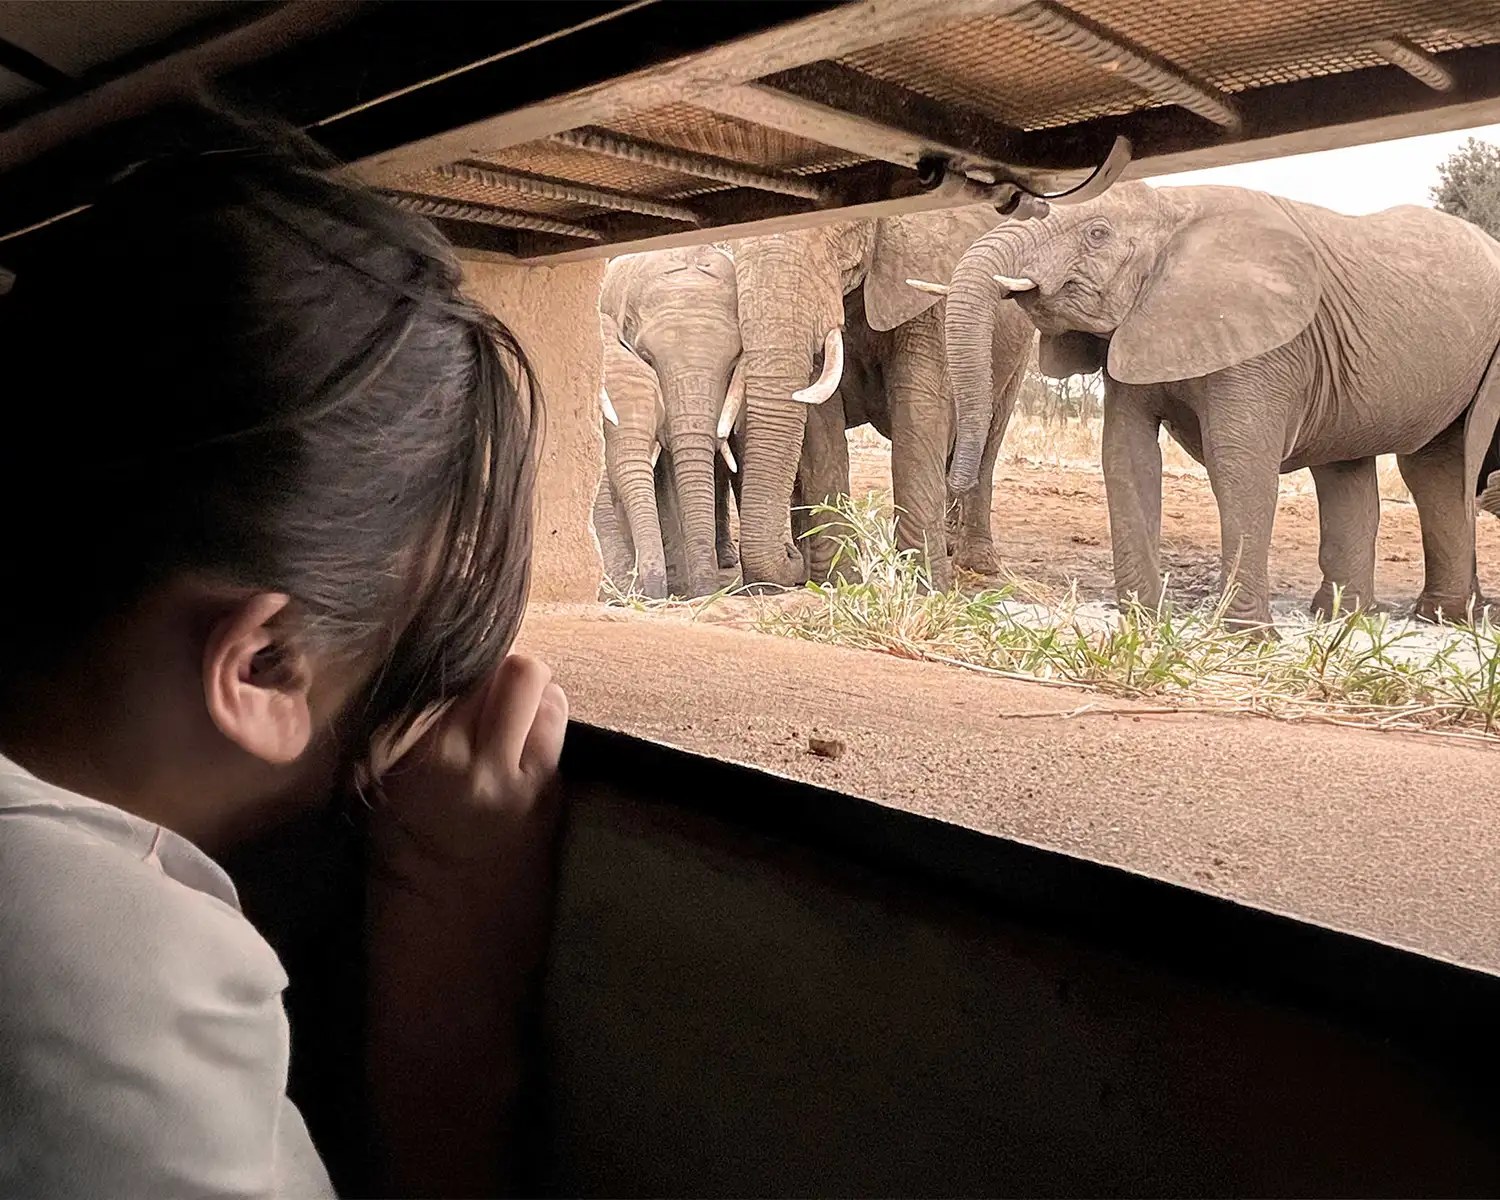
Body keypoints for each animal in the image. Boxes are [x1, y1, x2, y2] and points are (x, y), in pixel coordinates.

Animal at [731, 206, 1035, 592]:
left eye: (847, 227)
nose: (790, 555)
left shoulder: (926, 285)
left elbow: (920, 408)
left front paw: (925, 589)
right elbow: (821, 427)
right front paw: (841, 584)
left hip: (1019, 352)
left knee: (987, 440)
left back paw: (978, 564)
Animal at [944, 181, 1500, 628]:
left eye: (1097, 234)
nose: (955, 479)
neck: (1174, 207)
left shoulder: (1266, 347)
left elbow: (1239, 465)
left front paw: (1247, 638)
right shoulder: (1139, 327)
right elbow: (1127, 455)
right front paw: (1145, 622)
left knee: (1443, 467)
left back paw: (1443, 620)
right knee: (1370, 469)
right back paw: (1350, 618)